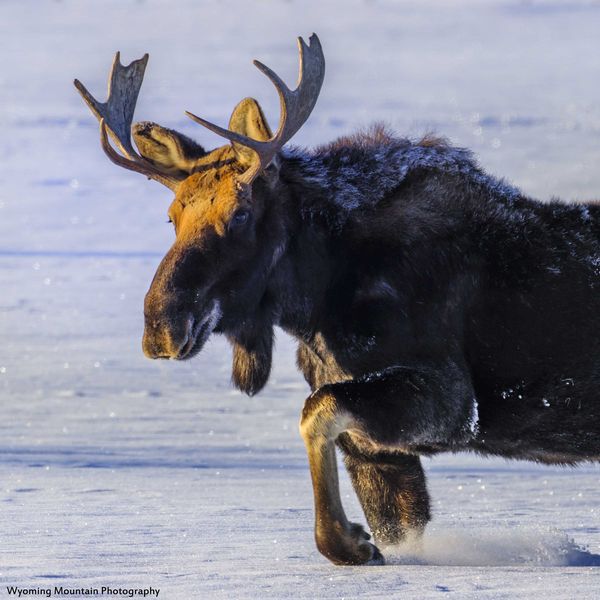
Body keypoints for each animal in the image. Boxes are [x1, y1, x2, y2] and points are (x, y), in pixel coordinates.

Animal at [75, 35, 600, 564]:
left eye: (240, 213)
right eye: (172, 215)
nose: (161, 326)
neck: (315, 306)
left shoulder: (452, 402)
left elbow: (314, 413)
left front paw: (346, 541)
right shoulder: (377, 445)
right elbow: (392, 516)